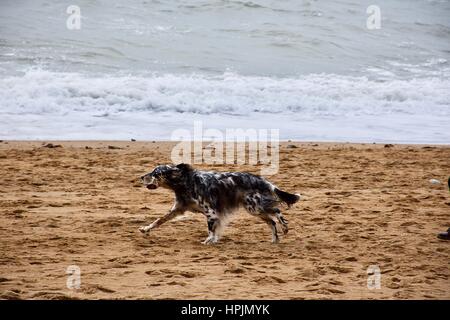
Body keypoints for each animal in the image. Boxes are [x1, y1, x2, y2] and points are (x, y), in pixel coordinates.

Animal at [139, 164, 300, 244]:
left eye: (155, 173)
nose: (141, 177)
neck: (186, 182)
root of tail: (263, 181)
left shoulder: (211, 213)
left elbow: (211, 229)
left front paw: (209, 240)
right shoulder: (177, 209)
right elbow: (159, 220)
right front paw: (145, 229)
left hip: (254, 207)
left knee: (277, 211)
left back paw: (284, 228)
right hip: (254, 209)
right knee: (272, 222)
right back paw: (274, 239)